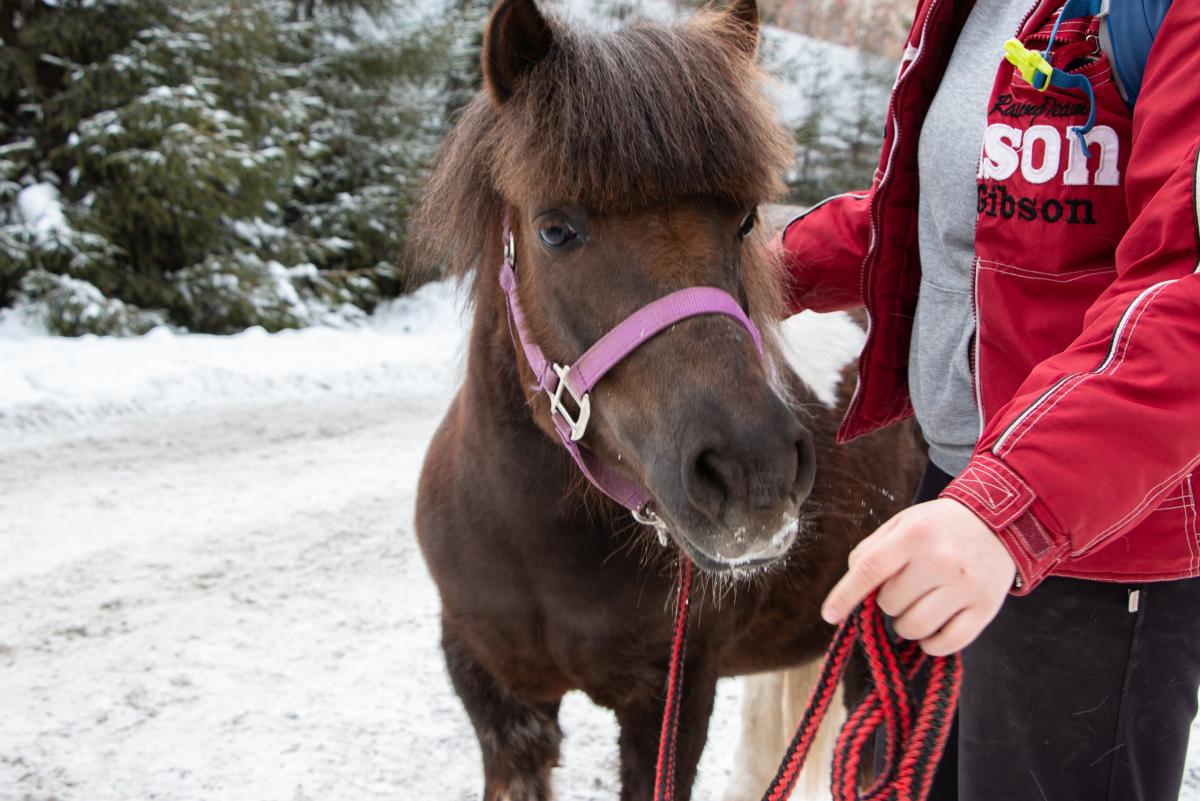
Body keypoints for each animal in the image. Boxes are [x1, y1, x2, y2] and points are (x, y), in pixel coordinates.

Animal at [412, 3, 916, 796]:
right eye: (556, 229)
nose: (754, 471)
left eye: (744, 219)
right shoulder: (498, 699)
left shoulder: (674, 700)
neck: (536, 540)